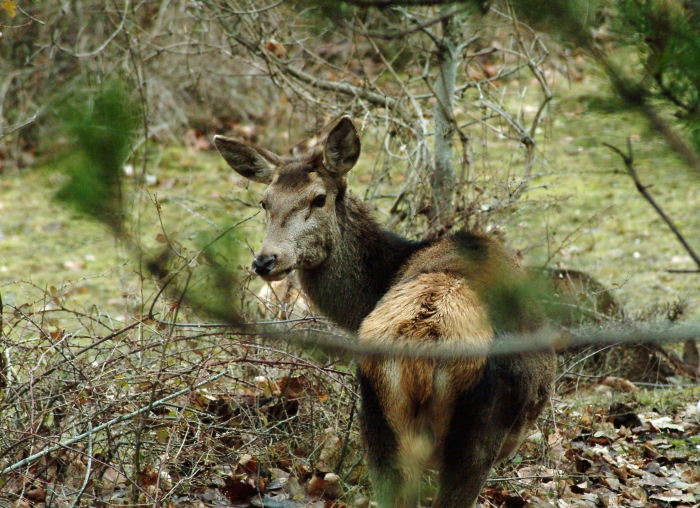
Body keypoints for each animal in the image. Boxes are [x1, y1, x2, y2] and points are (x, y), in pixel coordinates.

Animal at [215, 117, 556, 506]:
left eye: (319, 198)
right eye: (265, 201)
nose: (265, 260)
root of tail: (423, 345)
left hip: (377, 415)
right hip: (479, 428)